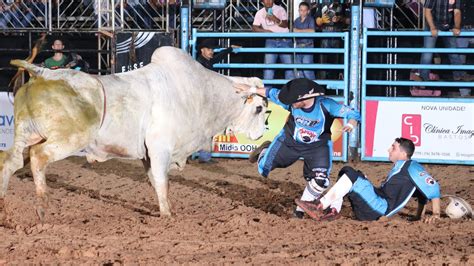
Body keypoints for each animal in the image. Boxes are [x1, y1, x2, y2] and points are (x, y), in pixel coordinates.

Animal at [0, 46, 266, 221]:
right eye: (259, 108)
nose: (261, 133)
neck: (199, 93)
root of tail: (44, 73)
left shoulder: (148, 155)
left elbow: (155, 181)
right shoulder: (160, 148)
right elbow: (161, 180)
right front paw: (167, 214)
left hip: (28, 133)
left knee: (11, 161)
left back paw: (3, 205)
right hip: (68, 139)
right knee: (38, 157)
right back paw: (42, 207)